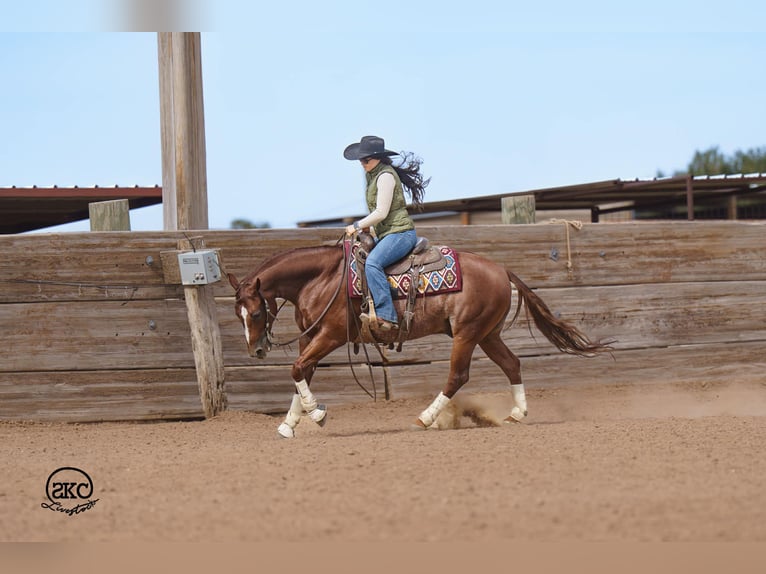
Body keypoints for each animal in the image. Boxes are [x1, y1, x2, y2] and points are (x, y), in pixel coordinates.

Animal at [227, 240, 610, 438]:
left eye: (256, 313)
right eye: (238, 313)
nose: (257, 350)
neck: (321, 278)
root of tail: (502, 270)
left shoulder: (332, 335)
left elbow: (296, 369)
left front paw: (318, 414)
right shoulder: (309, 339)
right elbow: (301, 372)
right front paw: (289, 424)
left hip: (467, 333)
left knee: (458, 375)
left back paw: (425, 418)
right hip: (487, 334)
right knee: (512, 364)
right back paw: (516, 414)